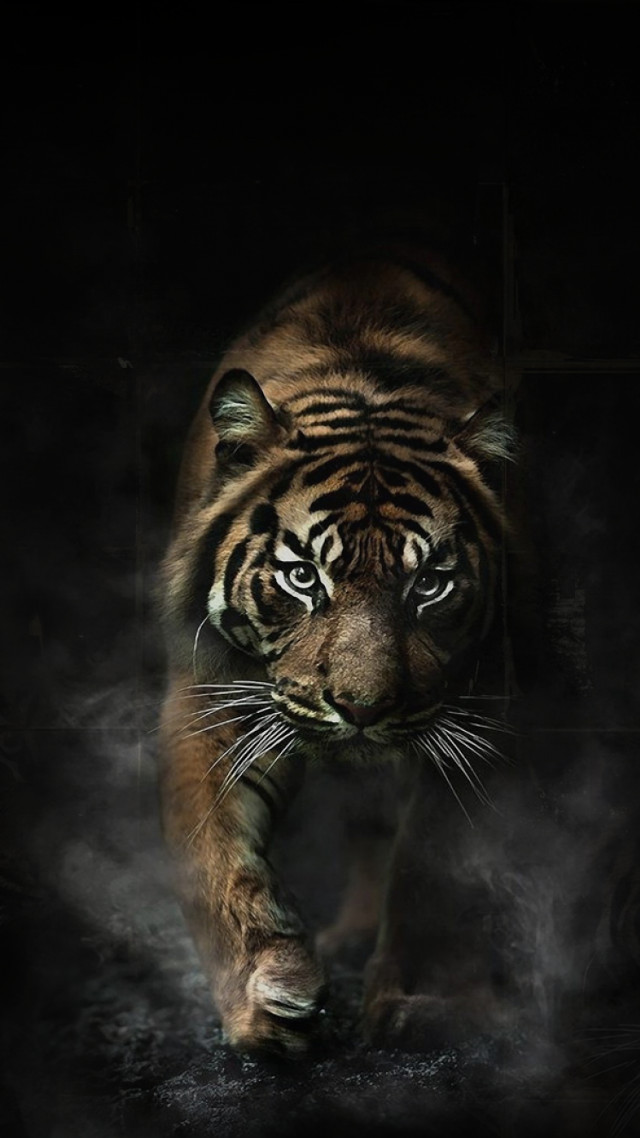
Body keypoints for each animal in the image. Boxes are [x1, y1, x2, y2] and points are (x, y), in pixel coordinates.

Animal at [157, 234, 519, 1057]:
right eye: (301, 577)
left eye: (431, 585)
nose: (361, 708)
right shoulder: (209, 690)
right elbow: (211, 852)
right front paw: (266, 997)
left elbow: (430, 863)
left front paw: (417, 1005)